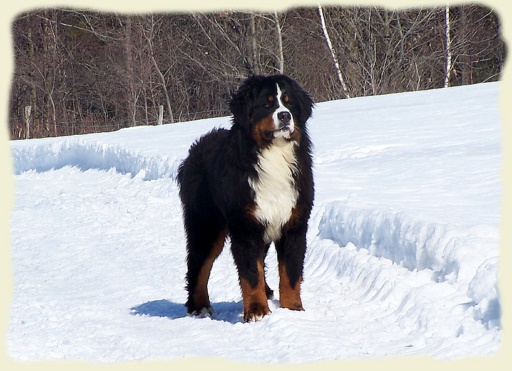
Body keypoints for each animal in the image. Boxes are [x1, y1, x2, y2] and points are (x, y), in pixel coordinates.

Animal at [178, 73, 314, 322]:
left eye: (289, 102)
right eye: (267, 104)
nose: (284, 116)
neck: (273, 154)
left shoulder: (294, 224)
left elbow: (290, 273)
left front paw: (293, 310)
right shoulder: (246, 227)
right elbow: (251, 274)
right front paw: (257, 311)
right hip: (207, 226)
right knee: (198, 265)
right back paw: (199, 306)